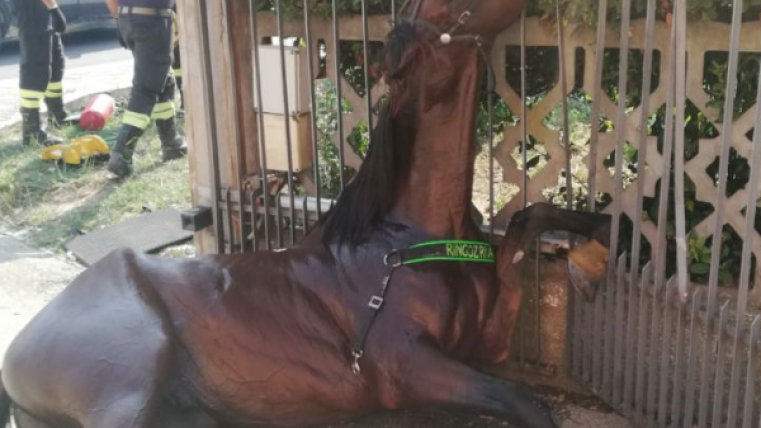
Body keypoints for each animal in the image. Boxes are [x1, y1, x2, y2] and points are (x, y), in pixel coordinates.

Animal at [0, 0, 612, 427]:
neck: (402, 238)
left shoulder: (489, 341)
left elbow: (528, 220)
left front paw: (599, 240)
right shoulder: (407, 367)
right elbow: (523, 400)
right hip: (128, 378)